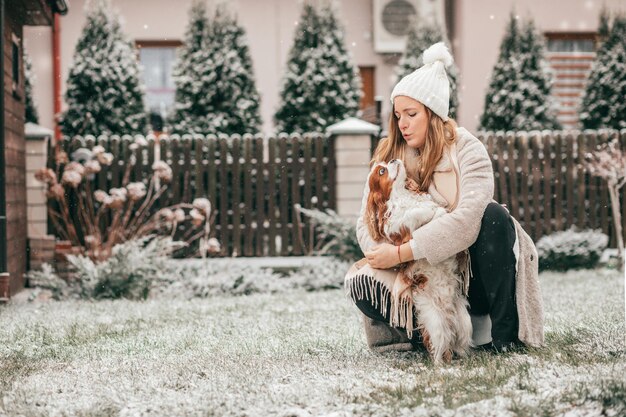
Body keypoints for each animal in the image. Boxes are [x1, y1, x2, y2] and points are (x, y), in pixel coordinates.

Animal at [364, 158, 470, 360]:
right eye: (381, 171)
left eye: (385, 164)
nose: (393, 159)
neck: (402, 195)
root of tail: (448, 312)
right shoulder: (396, 229)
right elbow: (414, 214)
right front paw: (429, 213)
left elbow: (433, 208)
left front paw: (437, 211)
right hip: (435, 321)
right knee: (438, 348)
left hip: (464, 320)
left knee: (458, 344)